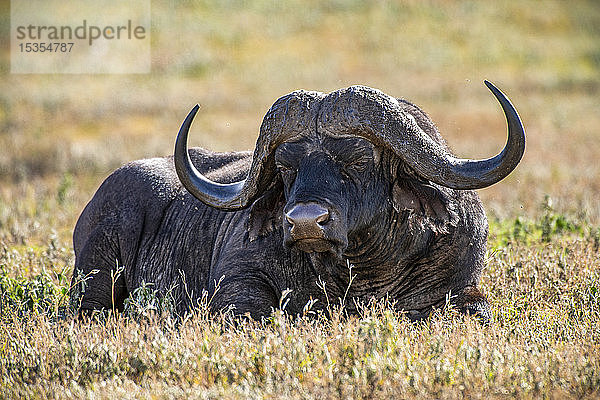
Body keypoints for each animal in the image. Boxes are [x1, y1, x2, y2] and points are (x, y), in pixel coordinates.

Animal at [68, 81, 524, 322]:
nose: (305, 222)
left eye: (358, 159)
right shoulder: (237, 285)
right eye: (287, 167)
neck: (361, 275)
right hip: (94, 279)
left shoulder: (462, 288)